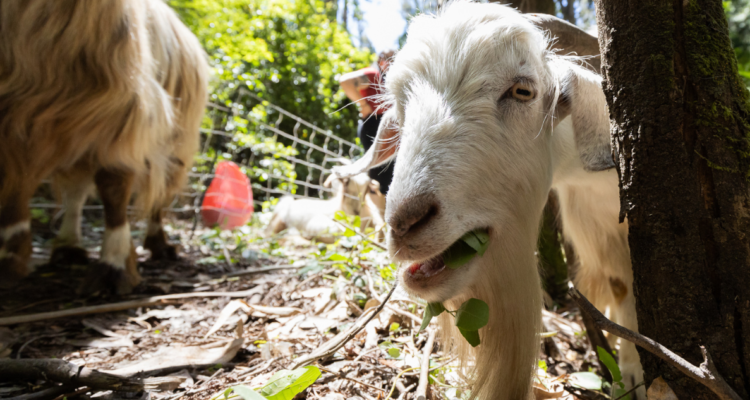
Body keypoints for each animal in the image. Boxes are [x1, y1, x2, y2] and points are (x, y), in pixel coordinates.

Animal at [0, 0, 209, 294]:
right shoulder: (16, 124)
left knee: (160, 194)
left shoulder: (122, 115)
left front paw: (114, 266)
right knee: (76, 192)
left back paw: (160, 245)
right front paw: (9, 258)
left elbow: (114, 186)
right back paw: (68, 248)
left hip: (175, 142)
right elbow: (14, 190)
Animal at [334, 2, 644, 399]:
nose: (405, 224)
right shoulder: (593, 221)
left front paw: (634, 373)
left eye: (523, 91)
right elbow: (621, 285)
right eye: (400, 108)